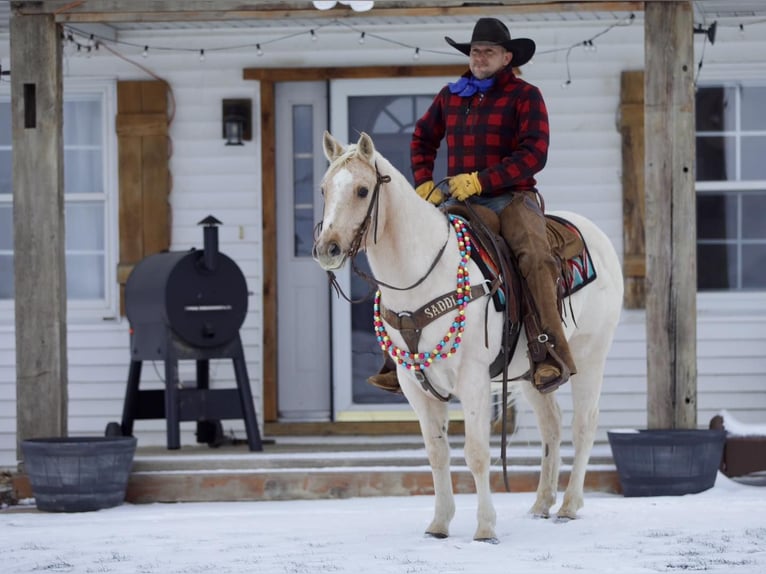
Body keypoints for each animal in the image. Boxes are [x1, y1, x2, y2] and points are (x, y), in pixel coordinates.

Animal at [312, 132, 624, 544]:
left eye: (363, 190)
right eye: (324, 189)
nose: (326, 249)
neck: (423, 277)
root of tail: (597, 237)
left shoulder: (473, 381)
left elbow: (476, 453)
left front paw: (485, 527)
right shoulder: (415, 386)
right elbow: (437, 453)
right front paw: (439, 525)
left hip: (591, 354)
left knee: (583, 424)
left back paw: (569, 506)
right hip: (531, 374)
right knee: (552, 426)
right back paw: (541, 504)